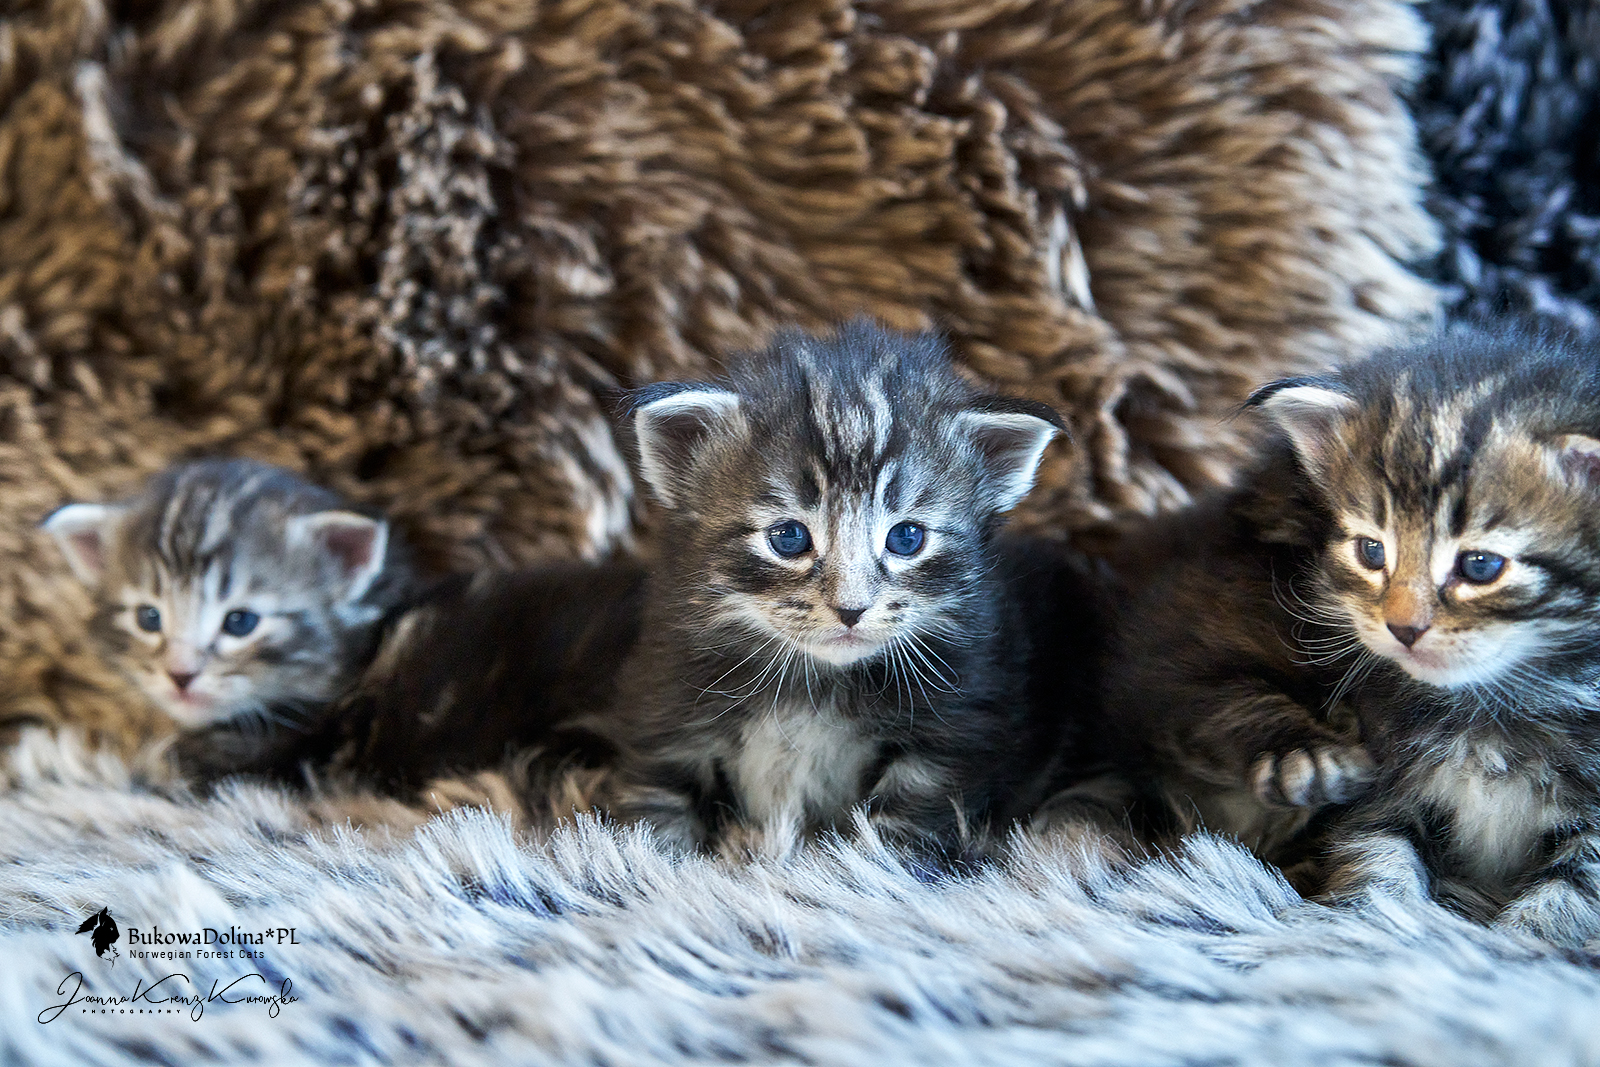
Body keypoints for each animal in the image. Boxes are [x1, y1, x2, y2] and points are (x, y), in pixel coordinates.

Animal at [590, 321, 1097, 861]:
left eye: (906, 538)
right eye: (789, 537)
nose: (851, 609)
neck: (814, 687)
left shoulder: (954, 730)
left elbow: (900, 830)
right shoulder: (666, 708)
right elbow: (654, 808)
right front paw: (643, 861)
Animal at [1104, 322, 1600, 946]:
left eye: (1480, 566)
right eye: (1372, 552)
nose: (1403, 627)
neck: (1492, 705)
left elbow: (1575, 889)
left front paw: (1521, 943)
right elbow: (1375, 850)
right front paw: (1370, 918)